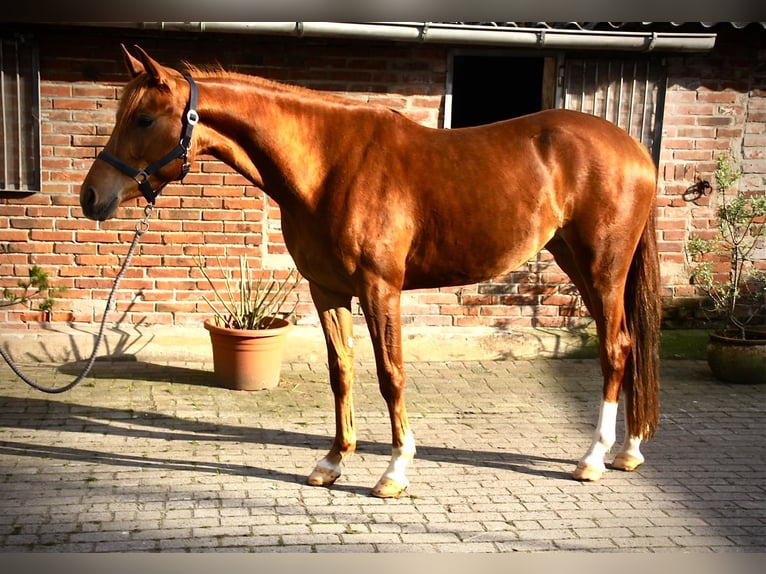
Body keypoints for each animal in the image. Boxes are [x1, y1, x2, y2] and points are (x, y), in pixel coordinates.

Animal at [80, 45, 661, 498]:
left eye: (144, 119)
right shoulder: (327, 289)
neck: (329, 166)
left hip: (602, 268)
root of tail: (635, 149)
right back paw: (629, 450)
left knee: (615, 348)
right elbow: (341, 372)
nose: (91, 197)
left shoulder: (382, 289)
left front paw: (394, 471)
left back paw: (593, 459)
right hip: (576, 263)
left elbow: (390, 373)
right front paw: (333, 462)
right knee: (630, 345)